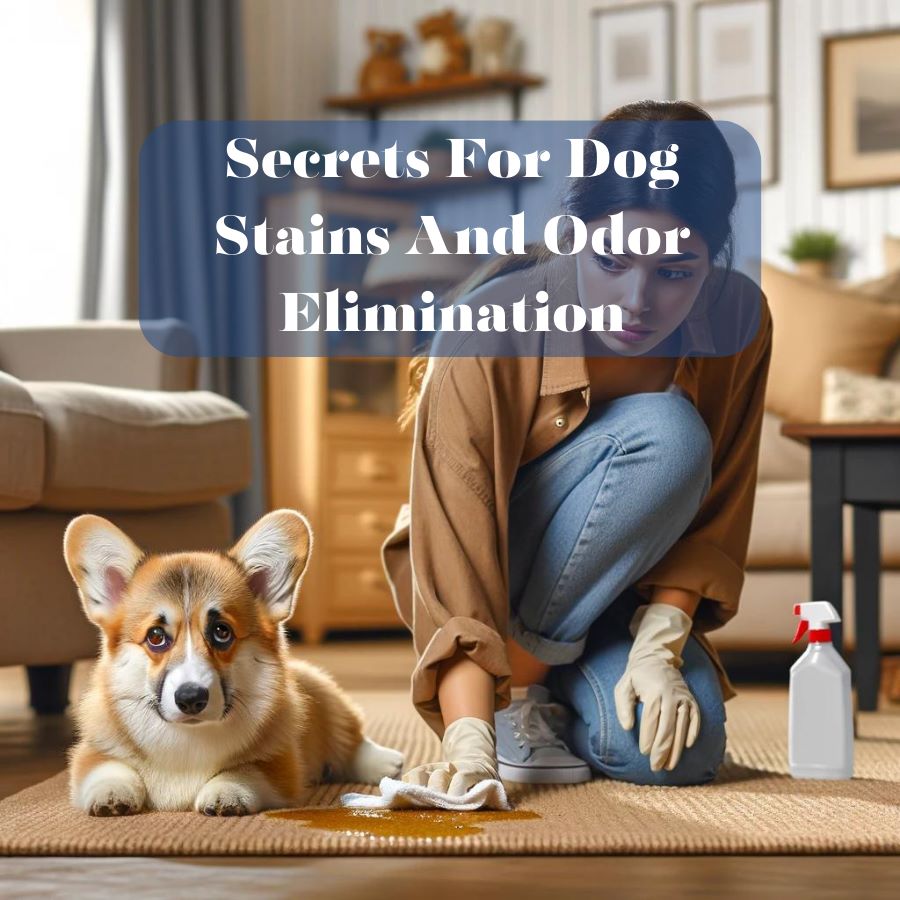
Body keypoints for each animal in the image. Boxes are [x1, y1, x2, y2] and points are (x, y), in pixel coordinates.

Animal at [60, 506, 404, 816]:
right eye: (156, 636)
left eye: (221, 632)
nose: (191, 698)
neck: (189, 736)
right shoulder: (91, 754)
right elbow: (108, 768)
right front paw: (110, 794)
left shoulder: (279, 765)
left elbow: (246, 770)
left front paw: (226, 792)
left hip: (327, 697)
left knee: (350, 738)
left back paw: (387, 763)